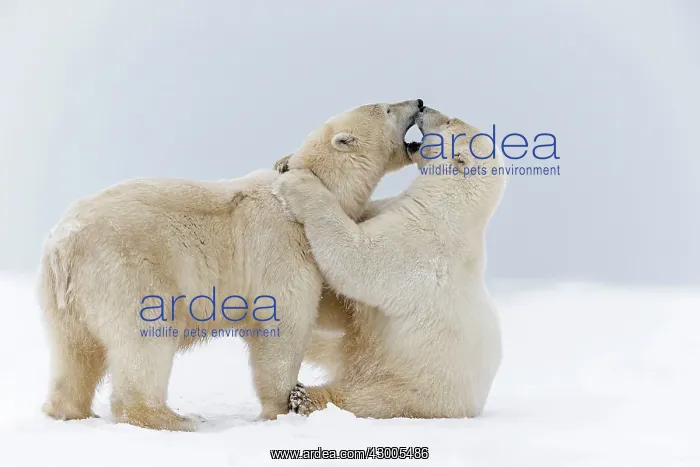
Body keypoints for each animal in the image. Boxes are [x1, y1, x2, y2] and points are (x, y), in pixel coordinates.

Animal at [37, 99, 424, 431]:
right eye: (387, 107)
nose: (419, 102)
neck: (315, 189)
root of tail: (63, 247)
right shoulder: (282, 247)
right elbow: (282, 326)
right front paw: (284, 405)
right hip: (129, 270)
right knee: (145, 341)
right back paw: (176, 419)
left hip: (65, 298)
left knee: (73, 354)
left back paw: (71, 411)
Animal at [272, 106, 506, 419]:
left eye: (448, 122)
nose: (423, 106)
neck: (448, 207)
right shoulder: (389, 210)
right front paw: (283, 161)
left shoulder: (416, 245)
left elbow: (356, 260)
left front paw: (298, 182)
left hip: (414, 386)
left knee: (363, 398)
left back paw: (304, 397)